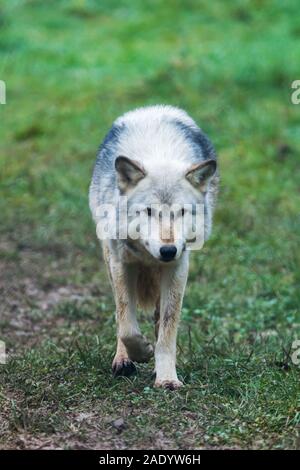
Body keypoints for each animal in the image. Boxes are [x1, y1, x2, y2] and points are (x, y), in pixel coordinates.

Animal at [89, 105, 218, 390]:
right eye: (149, 211)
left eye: (182, 212)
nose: (168, 251)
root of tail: (152, 109)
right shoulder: (122, 263)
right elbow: (126, 324)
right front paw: (140, 353)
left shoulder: (178, 267)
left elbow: (168, 330)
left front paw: (167, 377)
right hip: (109, 260)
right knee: (121, 315)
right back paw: (123, 361)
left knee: (160, 318)